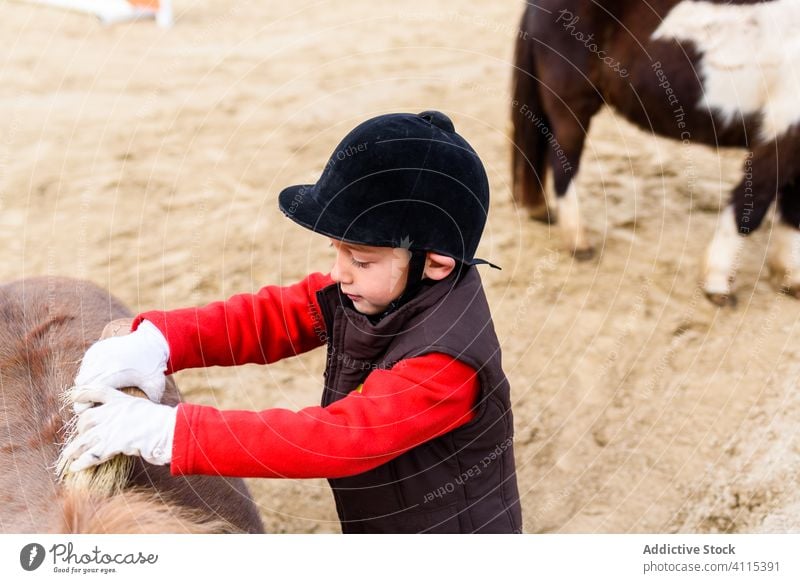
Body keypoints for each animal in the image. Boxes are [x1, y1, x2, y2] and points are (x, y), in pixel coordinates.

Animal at [512, 1, 800, 306]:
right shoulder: (779, 142)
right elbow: (750, 209)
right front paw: (717, 284)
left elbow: (792, 214)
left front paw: (790, 277)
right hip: (572, 109)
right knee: (563, 171)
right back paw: (579, 242)